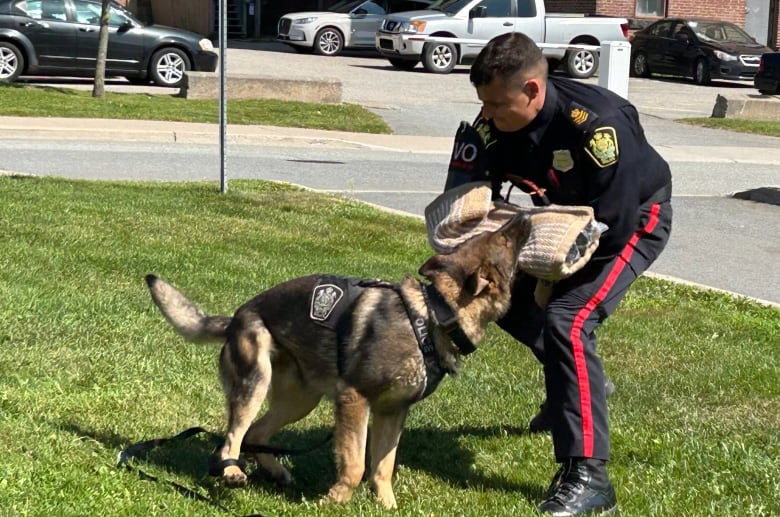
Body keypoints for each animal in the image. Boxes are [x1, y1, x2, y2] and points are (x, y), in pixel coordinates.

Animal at [145, 214, 532, 508]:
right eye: (504, 239)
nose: (524, 216)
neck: (433, 315)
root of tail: (235, 318)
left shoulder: (392, 412)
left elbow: (383, 466)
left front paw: (386, 506)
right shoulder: (354, 399)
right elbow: (356, 463)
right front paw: (334, 501)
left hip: (301, 400)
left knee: (255, 435)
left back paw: (275, 472)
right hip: (255, 383)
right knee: (232, 438)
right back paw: (232, 473)